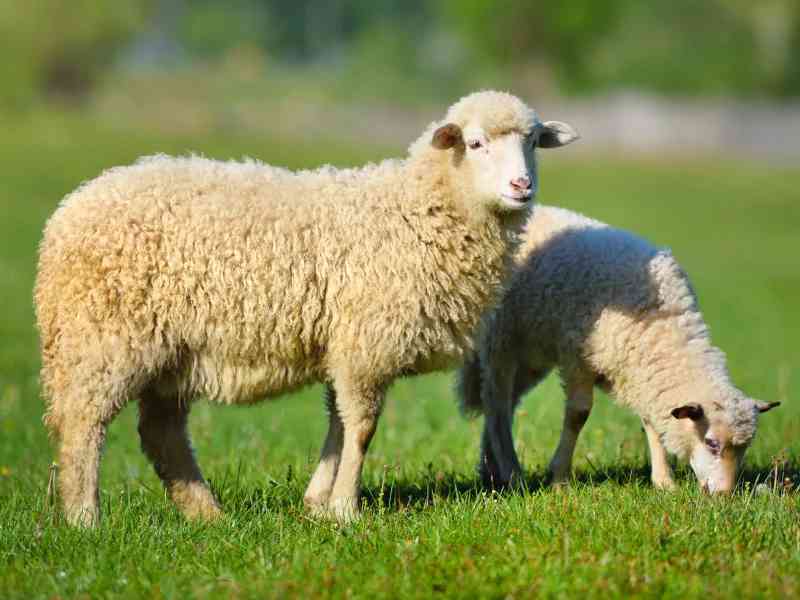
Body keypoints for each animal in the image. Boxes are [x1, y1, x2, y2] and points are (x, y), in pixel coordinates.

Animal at [34, 91, 580, 526]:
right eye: (476, 144)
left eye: (533, 142)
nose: (521, 186)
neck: (419, 211)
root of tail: (67, 213)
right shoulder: (366, 342)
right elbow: (362, 428)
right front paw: (345, 509)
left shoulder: (346, 344)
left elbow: (338, 421)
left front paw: (318, 502)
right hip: (101, 339)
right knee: (83, 425)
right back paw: (85, 518)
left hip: (172, 352)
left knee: (161, 434)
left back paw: (206, 515)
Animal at [458, 205, 780, 493]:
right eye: (711, 443)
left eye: (744, 448)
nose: (724, 495)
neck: (662, 325)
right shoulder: (578, 358)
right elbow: (578, 415)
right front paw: (559, 478)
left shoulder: (640, 372)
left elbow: (651, 422)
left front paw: (664, 482)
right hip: (501, 339)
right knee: (497, 403)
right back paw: (509, 471)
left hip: (531, 355)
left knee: (504, 403)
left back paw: (491, 470)